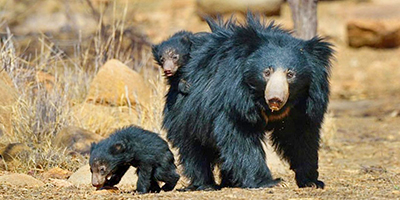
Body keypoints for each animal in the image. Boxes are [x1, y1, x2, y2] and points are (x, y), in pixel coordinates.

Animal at [162, 14, 334, 191]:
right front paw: (267, 181)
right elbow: (239, 135)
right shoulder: (234, 97)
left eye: (290, 74)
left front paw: (312, 181)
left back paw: (230, 181)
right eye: (267, 72)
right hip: (186, 111)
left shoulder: (304, 105)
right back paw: (206, 184)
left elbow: (300, 136)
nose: (275, 98)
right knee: (193, 148)